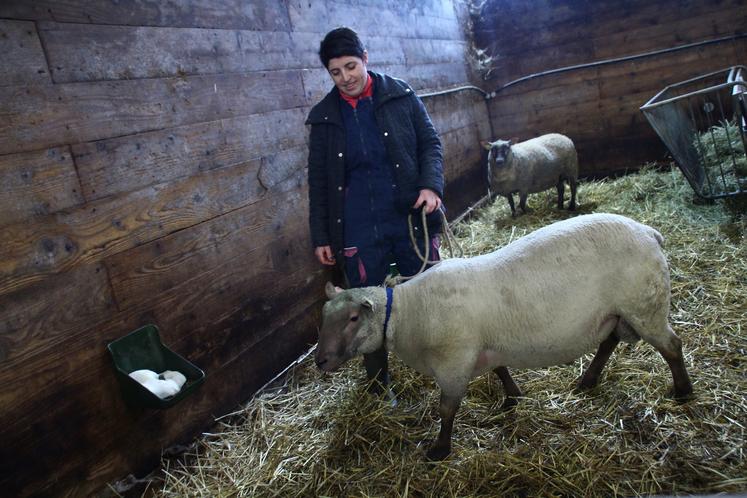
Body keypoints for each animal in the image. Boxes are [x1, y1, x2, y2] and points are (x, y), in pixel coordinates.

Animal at [316, 212, 696, 462]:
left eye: (353, 318)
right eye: (323, 318)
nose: (320, 360)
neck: (407, 313)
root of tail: (648, 231)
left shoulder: (454, 363)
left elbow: (447, 409)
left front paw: (439, 450)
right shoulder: (484, 348)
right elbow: (500, 369)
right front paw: (513, 397)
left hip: (645, 306)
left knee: (672, 347)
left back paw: (682, 391)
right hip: (618, 311)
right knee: (609, 342)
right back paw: (587, 380)